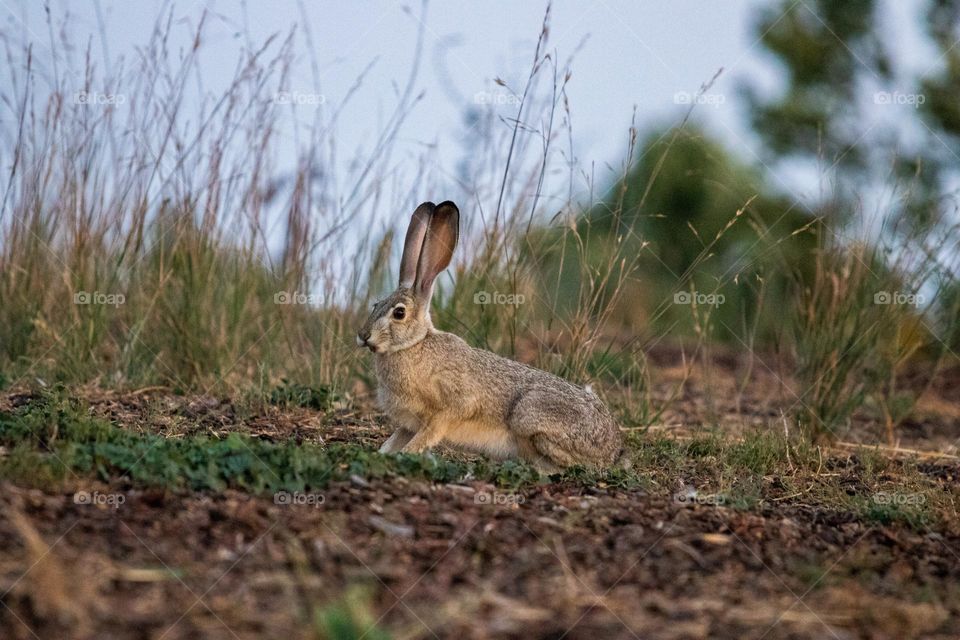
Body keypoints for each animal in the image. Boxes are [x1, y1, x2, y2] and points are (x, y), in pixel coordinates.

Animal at [357, 201, 622, 472]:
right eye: (375, 305)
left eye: (399, 313)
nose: (363, 336)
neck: (414, 345)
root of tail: (613, 447)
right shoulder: (410, 423)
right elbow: (396, 439)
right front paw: (383, 454)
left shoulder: (452, 407)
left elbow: (429, 434)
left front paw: (406, 454)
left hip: (529, 416)